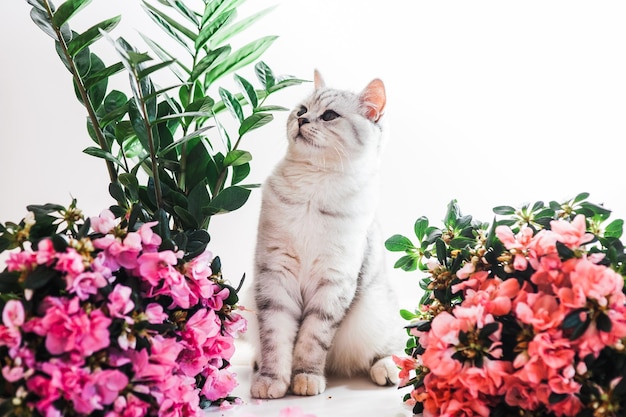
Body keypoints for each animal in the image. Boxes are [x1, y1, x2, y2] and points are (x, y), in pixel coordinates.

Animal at [245, 70, 398, 398]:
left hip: (375, 308)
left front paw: (305, 378)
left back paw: (388, 370)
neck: (313, 185)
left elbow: (312, 340)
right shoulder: (275, 275)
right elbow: (276, 338)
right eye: (302, 110)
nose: (302, 120)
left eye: (329, 116)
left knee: (389, 347)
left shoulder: (333, 281)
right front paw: (271, 381)